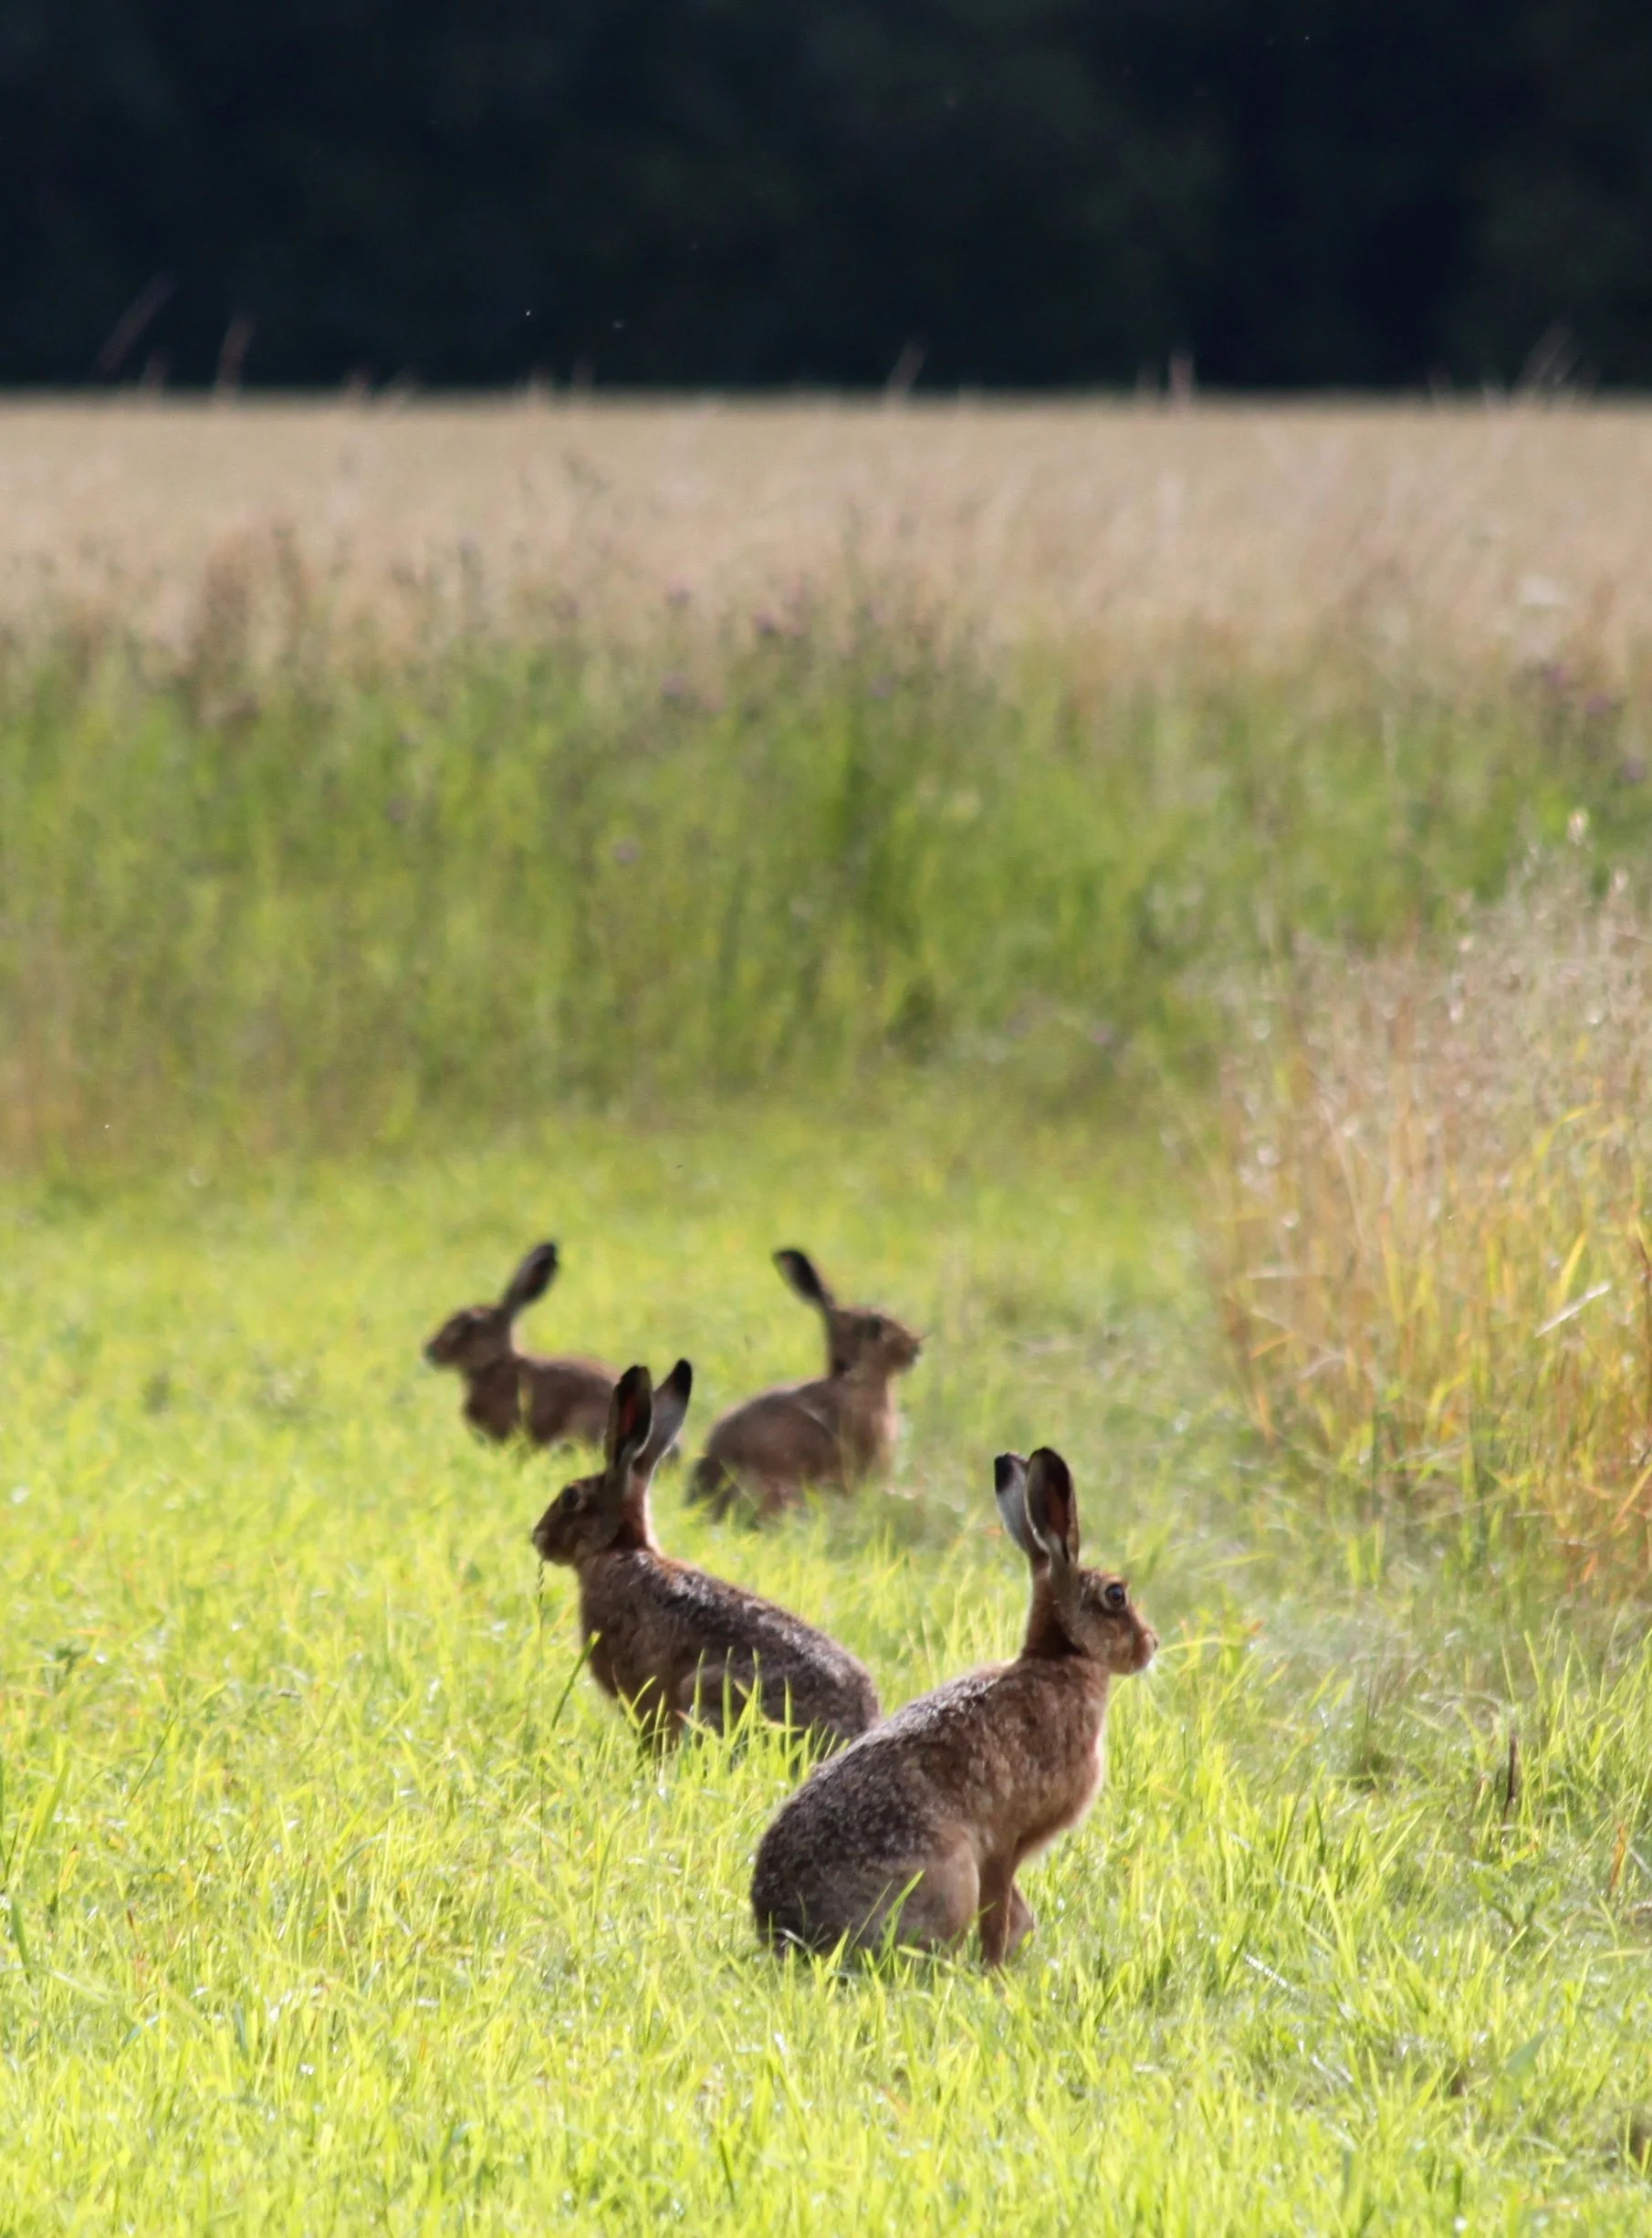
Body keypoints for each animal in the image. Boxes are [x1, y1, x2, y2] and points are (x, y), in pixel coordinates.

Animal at [751, 1445, 1156, 1965]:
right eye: (1116, 1595)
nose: (1151, 1645)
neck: (1060, 1657)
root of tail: (788, 1933)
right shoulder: (1004, 1841)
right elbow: (999, 1908)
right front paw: (996, 1969)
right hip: (949, 1872)